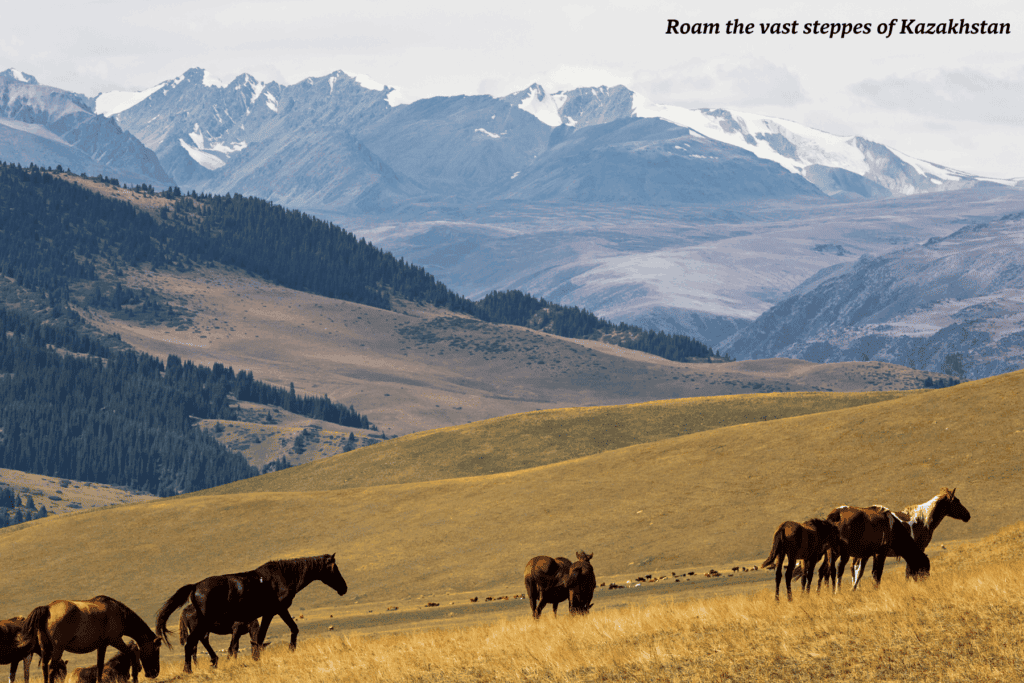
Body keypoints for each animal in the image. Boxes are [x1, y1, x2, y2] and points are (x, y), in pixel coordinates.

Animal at [15, 596, 160, 683]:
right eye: (156, 650)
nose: (154, 673)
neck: (118, 612)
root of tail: (47, 608)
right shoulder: (116, 640)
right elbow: (131, 654)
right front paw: (135, 676)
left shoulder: (102, 645)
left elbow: (100, 666)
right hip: (57, 649)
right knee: (51, 668)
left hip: (45, 649)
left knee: (45, 667)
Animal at [155, 553, 347, 674]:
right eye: (334, 568)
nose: (344, 588)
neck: (283, 576)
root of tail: (195, 587)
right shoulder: (275, 611)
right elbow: (283, 631)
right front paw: (289, 650)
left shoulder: (270, 614)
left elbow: (261, 637)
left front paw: (256, 657)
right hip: (203, 625)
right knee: (191, 644)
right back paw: (189, 670)